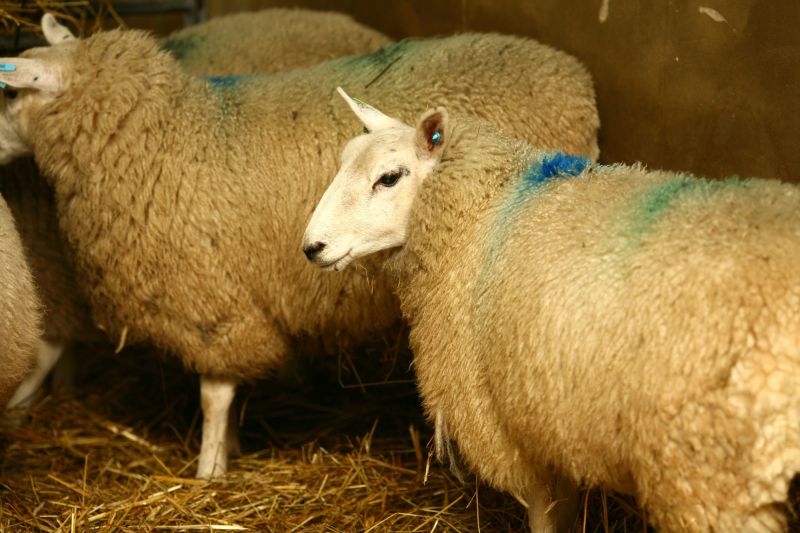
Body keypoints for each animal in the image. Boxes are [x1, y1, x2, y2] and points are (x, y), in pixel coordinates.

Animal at [302, 90, 800, 532]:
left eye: (389, 177)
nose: (311, 247)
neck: (484, 209)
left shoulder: (514, 427)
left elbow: (546, 513)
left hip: (708, 477)